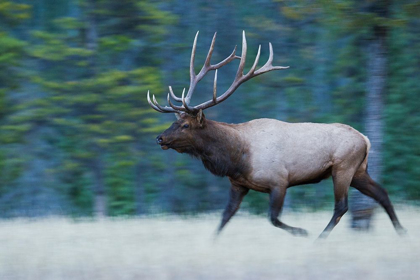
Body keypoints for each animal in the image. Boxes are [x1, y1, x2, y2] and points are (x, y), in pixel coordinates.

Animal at [148, 31, 406, 240]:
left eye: (185, 125)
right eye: (174, 121)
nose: (160, 138)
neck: (237, 157)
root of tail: (366, 139)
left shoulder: (279, 181)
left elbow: (273, 218)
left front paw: (301, 232)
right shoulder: (238, 185)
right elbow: (225, 217)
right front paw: (210, 243)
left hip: (343, 167)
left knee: (341, 206)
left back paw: (319, 239)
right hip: (358, 170)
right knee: (381, 193)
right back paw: (402, 232)